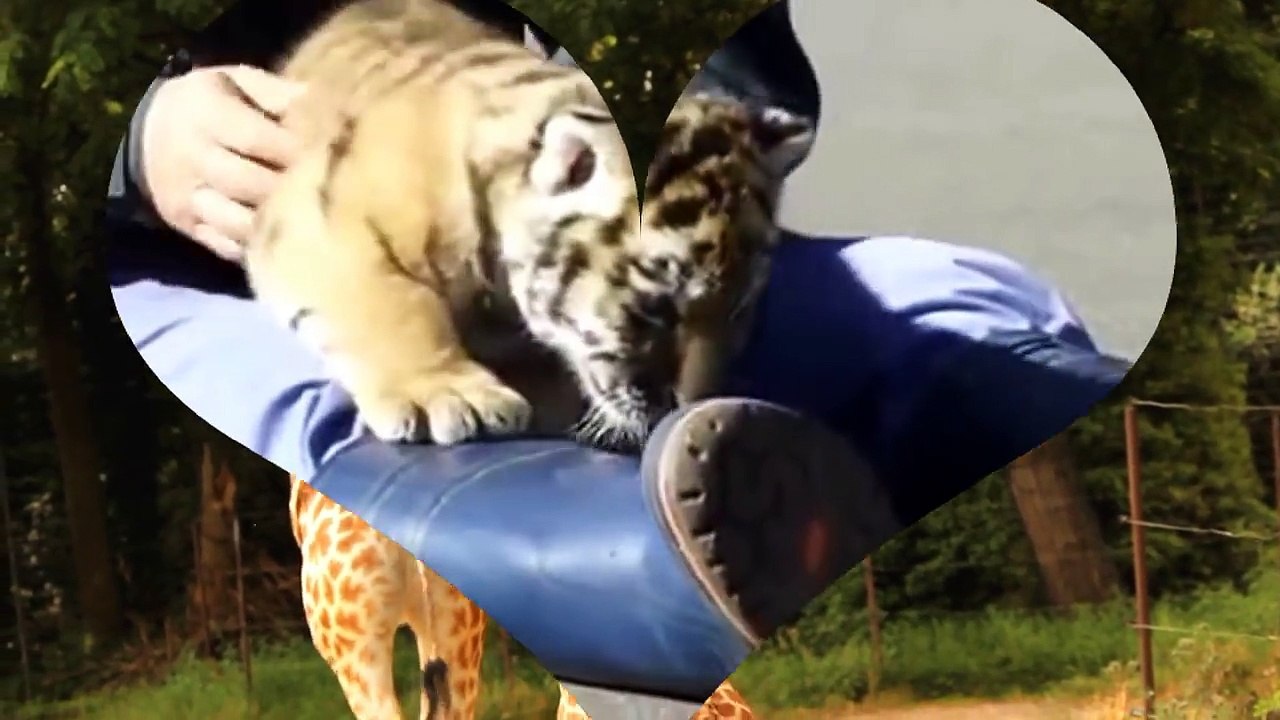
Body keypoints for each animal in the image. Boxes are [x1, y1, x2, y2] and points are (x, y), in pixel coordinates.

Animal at [242, 0, 816, 452]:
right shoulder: (318, 210)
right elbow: (392, 300)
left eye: (738, 310)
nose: (690, 407)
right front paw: (447, 393)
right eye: (660, 308)